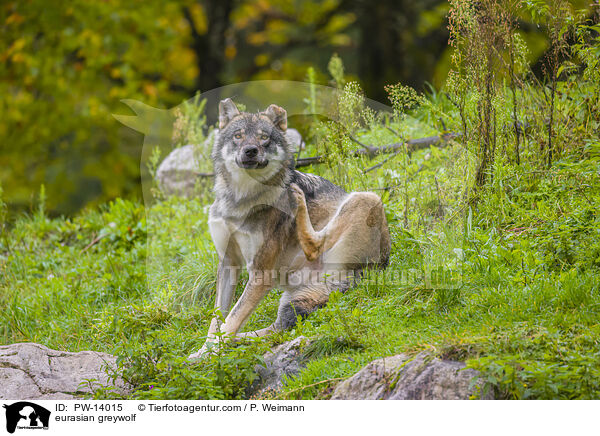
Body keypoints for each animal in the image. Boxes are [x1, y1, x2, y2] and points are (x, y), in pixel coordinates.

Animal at [190, 99, 392, 358]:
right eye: (238, 136)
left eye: (264, 137)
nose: (251, 150)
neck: (240, 200)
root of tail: (380, 268)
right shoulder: (228, 264)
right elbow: (218, 322)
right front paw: (201, 353)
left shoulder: (260, 273)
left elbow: (231, 320)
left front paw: (209, 356)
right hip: (291, 301)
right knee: (276, 330)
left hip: (367, 198)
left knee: (314, 247)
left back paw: (297, 199)